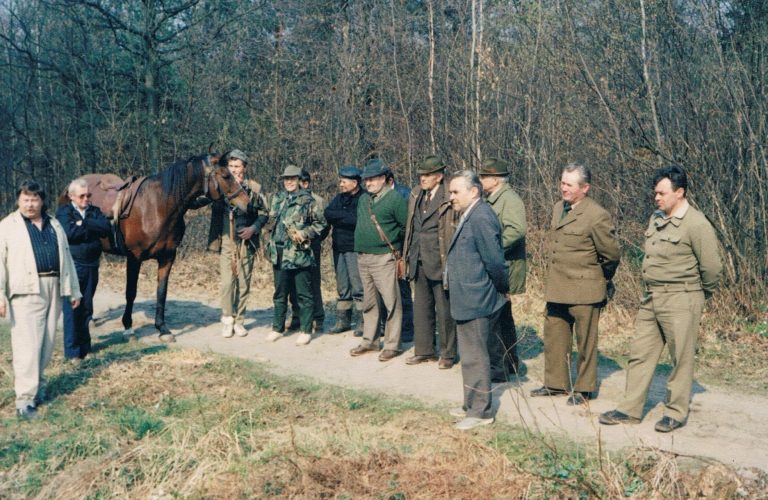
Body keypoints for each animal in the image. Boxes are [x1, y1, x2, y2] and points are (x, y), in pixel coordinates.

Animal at [63, 154, 249, 342]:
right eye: (226, 175)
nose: (247, 202)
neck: (158, 206)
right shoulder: (134, 258)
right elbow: (131, 292)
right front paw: (128, 328)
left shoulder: (167, 257)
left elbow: (161, 292)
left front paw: (162, 329)